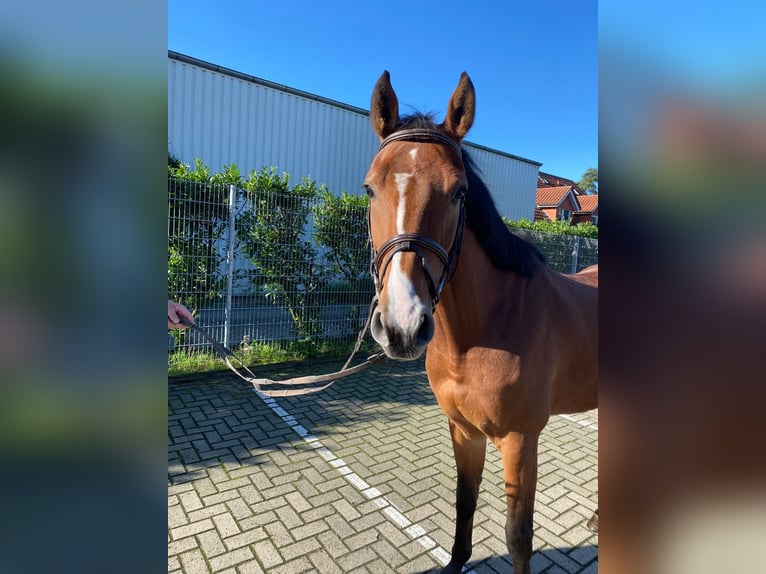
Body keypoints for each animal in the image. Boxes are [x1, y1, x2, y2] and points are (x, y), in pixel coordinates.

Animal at [366, 72, 600, 574]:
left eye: (459, 192)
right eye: (370, 189)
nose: (402, 326)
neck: (475, 337)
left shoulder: (519, 440)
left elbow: (518, 536)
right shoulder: (463, 430)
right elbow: (464, 502)